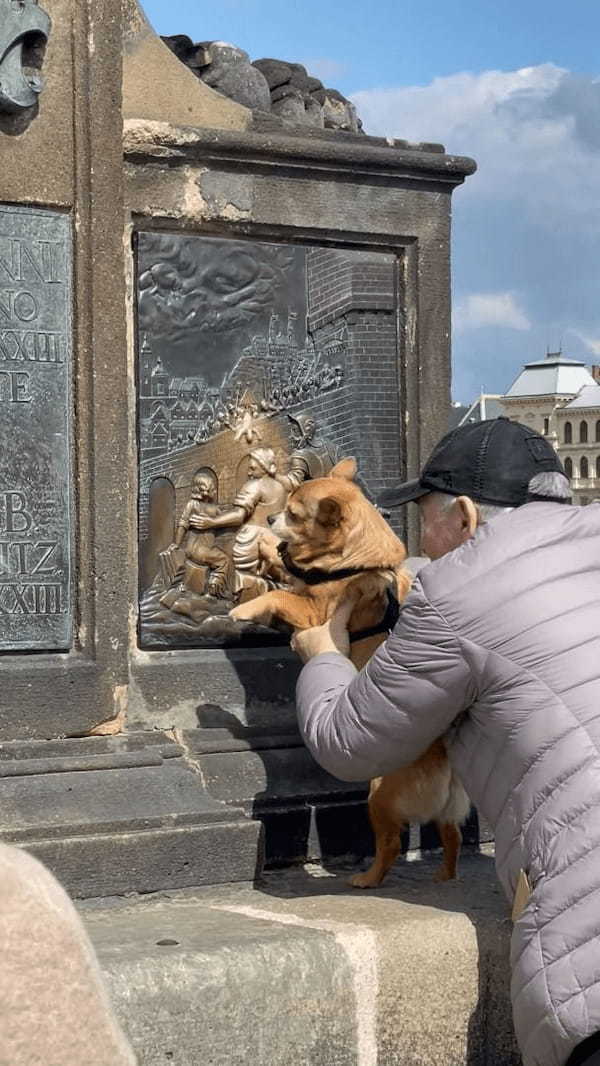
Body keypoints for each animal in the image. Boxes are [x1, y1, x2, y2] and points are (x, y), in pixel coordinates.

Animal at [230, 458, 468, 882]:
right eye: (285, 506)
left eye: (294, 514)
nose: (271, 516)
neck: (350, 562)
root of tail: (445, 763)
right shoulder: (302, 579)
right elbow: (285, 566)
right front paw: (262, 542)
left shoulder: (314, 612)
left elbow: (279, 594)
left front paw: (243, 608)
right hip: (443, 815)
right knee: (451, 836)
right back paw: (444, 876)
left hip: (378, 796)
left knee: (390, 844)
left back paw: (367, 879)